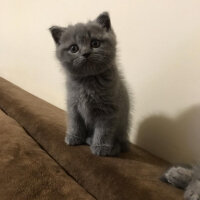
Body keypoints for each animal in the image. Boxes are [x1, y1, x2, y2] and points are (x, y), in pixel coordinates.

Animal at [49, 12, 131, 156]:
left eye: (95, 43)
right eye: (74, 48)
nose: (86, 53)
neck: (88, 81)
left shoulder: (108, 110)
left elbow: (104, 130)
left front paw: (101, 147)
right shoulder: (73, 105)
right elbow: (75, 122)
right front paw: (74, 137)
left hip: (122, 128)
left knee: (121, 143)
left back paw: (108, 146)